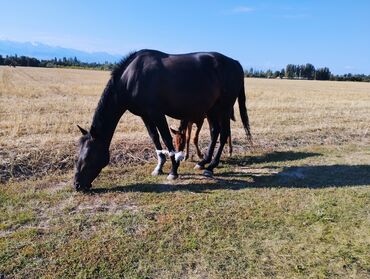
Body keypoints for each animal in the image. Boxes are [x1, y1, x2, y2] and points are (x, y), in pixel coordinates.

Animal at [73, 49, 250, 191]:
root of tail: (235, 63)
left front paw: (173, 170)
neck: (132, 77)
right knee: (215, 132)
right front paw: (159, 166)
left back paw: (211, 166)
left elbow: (166, 138)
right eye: (78, 155)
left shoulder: (157, 114)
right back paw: (203, 162)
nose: (77, 185)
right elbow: (155, 138)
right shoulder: (145, 115)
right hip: (211, 110)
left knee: (224, 133)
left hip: (224, 108)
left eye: (88, 156)